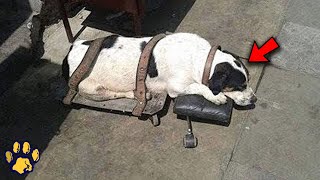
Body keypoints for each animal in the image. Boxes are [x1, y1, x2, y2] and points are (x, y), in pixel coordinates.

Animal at [67, 32, 258, 106]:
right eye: (239, 87)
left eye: (248, 82)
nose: (254, 99)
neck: (200, 58)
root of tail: (68, 53)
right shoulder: (176, 87)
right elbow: (198, 86)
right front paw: (214, 96)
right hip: (90, 89)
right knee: (112, 94)